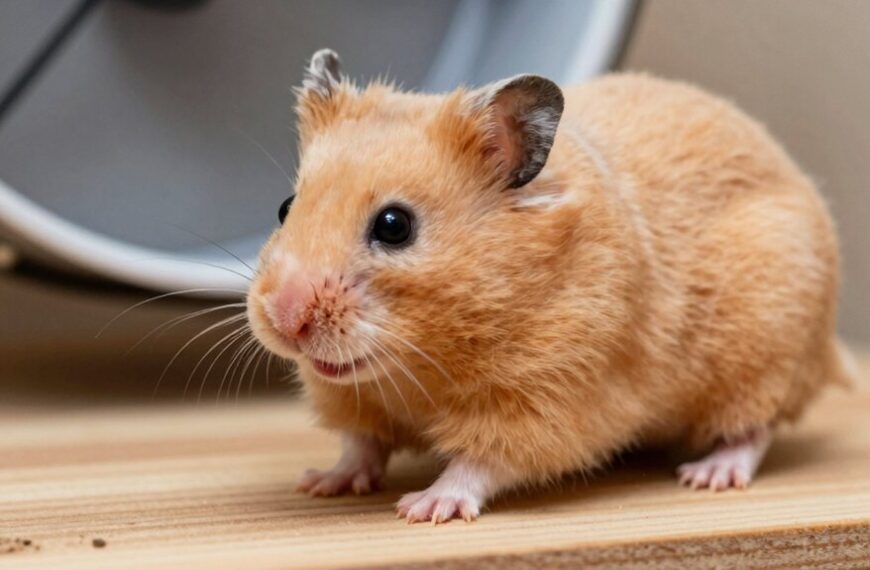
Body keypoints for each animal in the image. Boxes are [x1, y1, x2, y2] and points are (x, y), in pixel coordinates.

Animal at [246, 49, 851, 524]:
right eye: (285, 207)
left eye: (395, 226)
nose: (285, 319)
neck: (423, 367)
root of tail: (827, 350)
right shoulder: (356, 399)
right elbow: (360, 444)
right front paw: (322, 481)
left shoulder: (547, 398)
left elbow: (482, 462)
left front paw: (423, 508)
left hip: (762, 357)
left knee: (754, 429)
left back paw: (708, 473)